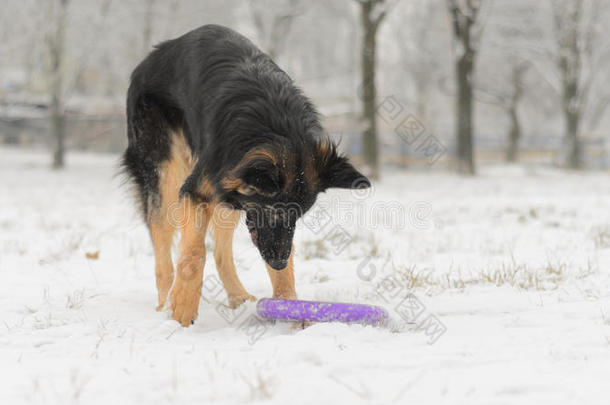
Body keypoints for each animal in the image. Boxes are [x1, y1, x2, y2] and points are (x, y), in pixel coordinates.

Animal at [121, 24, 368, 326]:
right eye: (274, 212)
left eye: (299, 216)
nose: (278, 261)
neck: (276, 127)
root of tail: (152, 56)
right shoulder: (197, 191)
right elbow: (194, 253)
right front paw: (182, 308)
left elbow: (277, 262)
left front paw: (289, 305)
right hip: (166, 179)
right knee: (163, 254)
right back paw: (164, 304)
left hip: (228, 201)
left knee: (221, 252)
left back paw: (237, 297)